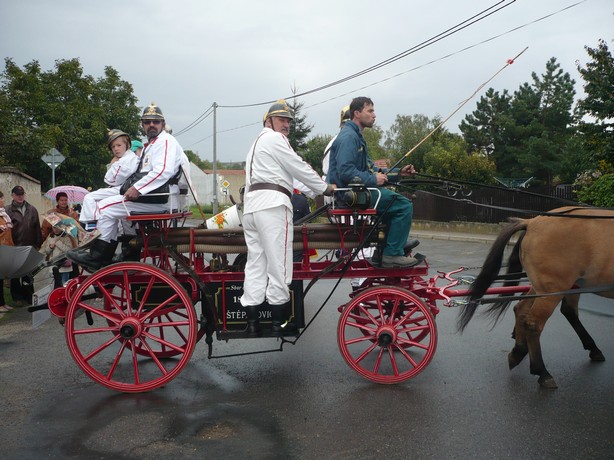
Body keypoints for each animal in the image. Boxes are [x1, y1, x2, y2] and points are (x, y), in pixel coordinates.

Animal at [460, 207, 612, 390]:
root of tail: (532, 222)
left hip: (545, 287)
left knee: (522, 309)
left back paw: (519, 351)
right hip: (552, 290)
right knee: (534, 323)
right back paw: (542, 371)